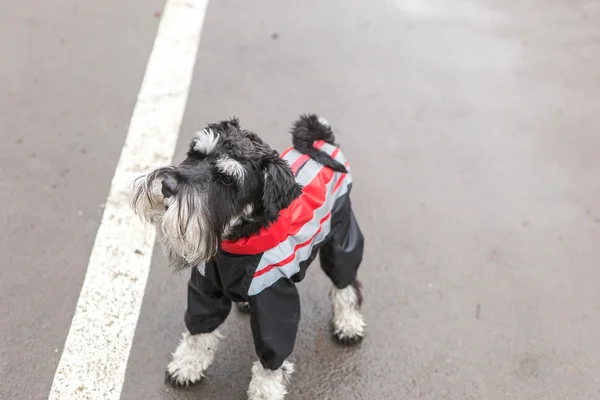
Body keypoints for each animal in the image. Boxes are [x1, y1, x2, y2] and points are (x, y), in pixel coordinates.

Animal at [131, 114, 366, 398]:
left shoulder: (276, 304)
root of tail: (323, 142)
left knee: (346, 282)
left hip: (340, 237)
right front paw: (187, 365)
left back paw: (348, 323)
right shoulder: (205, 290)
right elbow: (199, 331)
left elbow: (271, 357)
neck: (235, 247)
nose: (167, 186)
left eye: (227, 180)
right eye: (196, 154)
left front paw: (265, 391)